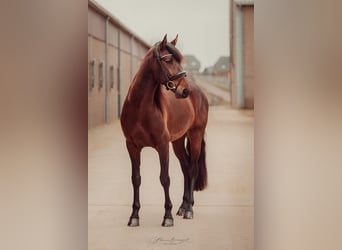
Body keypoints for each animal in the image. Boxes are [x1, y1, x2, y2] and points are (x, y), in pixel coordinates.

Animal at [120, 34, 208, 227]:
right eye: (168, 60)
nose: (185, 91)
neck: (140, 108)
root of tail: (199, 92)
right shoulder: (132, 146)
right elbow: (135, 179)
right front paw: (134, 216)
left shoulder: (162, 146)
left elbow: (165, 179)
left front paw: (167, 217)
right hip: (177, 142)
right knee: (185, 168)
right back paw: (182, 207)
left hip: (195, 136)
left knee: (192, 169)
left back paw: (189, 210)